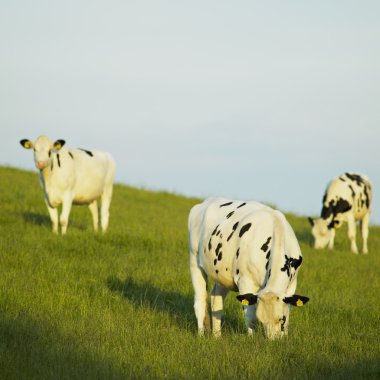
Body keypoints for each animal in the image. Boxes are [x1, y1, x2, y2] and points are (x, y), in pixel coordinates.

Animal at [187, 197, 308, 340]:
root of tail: (207, 201)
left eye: (281, 319)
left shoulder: (291, 285)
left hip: (221, 273)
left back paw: (217, 336)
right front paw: (252, 339)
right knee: (200, 301)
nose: (273, 341)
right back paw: (201, 335)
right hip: (194, 261)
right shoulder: (246, 282)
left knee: (216, 300)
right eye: (261, 320)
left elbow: (288, 312)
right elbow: (250, 317)